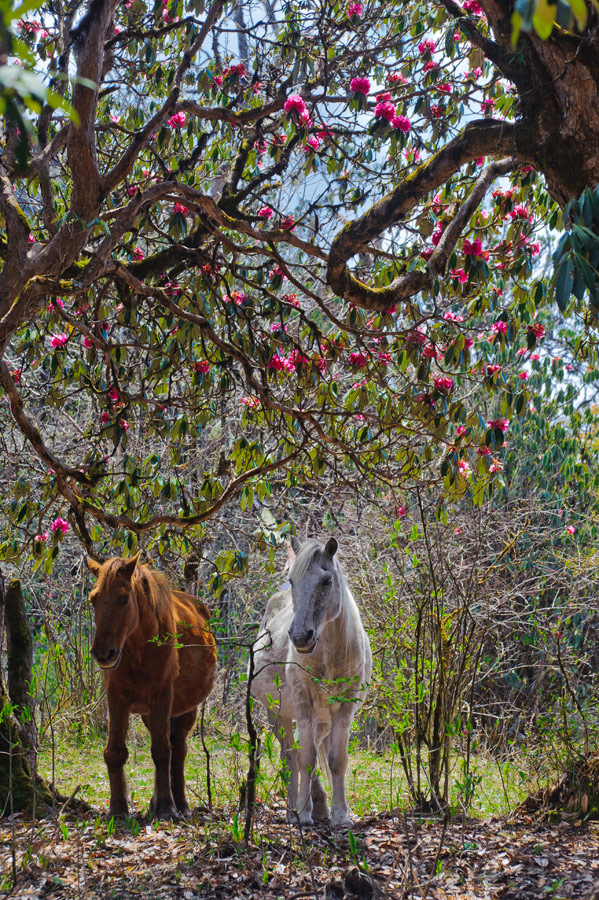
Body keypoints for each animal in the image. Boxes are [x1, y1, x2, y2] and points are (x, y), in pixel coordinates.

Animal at [86, 552, 218, 820]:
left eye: (124, 599)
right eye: (93, 600)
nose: (103, 654)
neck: (139, 648)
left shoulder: (162, 696)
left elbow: (161, 751)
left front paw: (167, 808)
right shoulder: (117, 698)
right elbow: (115, 751)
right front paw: (118, 808)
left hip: (186, 710)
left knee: (178, 751)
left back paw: (179, 804)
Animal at [252, 536, 372, 828]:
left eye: (327, 581)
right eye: (293, 581)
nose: (299, 636)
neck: (329, 654)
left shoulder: (344, 708)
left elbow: (336, 760)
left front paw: (340, 815)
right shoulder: (303, 704)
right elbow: (305, 758)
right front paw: (303, 813)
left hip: (323, 720)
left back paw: (319, 806)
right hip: (278, 714)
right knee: (290, 757)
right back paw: (293, 810)